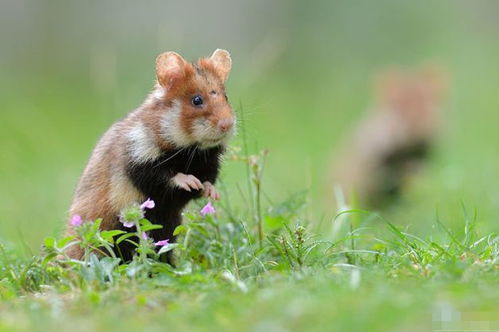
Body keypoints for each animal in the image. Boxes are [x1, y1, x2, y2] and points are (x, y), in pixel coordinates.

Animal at [65, 49, 236, 262]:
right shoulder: (137, 159)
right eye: (197, 100)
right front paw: (190, 181)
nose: (228, 125)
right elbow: (164, 176)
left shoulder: (209, 163)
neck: (190, 149)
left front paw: (211, 192)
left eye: (226, 97)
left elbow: (206, 182)